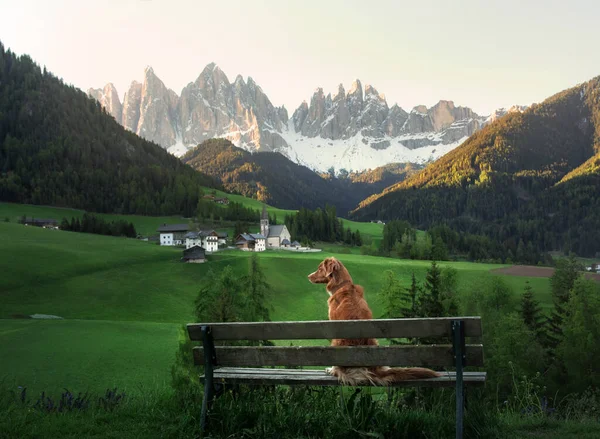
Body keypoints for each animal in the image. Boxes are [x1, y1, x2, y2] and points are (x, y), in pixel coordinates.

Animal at [308, 256, 438, 386]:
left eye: (320, 268)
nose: (308, 276)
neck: (341, 285)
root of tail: (372, 369)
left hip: (337, 341)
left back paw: (331, 370)